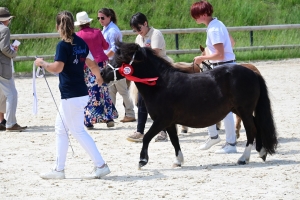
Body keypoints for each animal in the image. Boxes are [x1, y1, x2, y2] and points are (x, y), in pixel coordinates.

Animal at [100, 41, 276, 169]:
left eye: (120, 58)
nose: (102, 73)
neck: (161, 84)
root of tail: (252, 73)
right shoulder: (169, 123)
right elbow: (174, 140)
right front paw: (178, 161)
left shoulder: (161, 120)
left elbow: (147, 137)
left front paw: (142, 161)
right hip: (241, 110)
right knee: (257, 127)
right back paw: (261, 152)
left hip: (244, 110)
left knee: (252, 130)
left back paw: (244, 158)